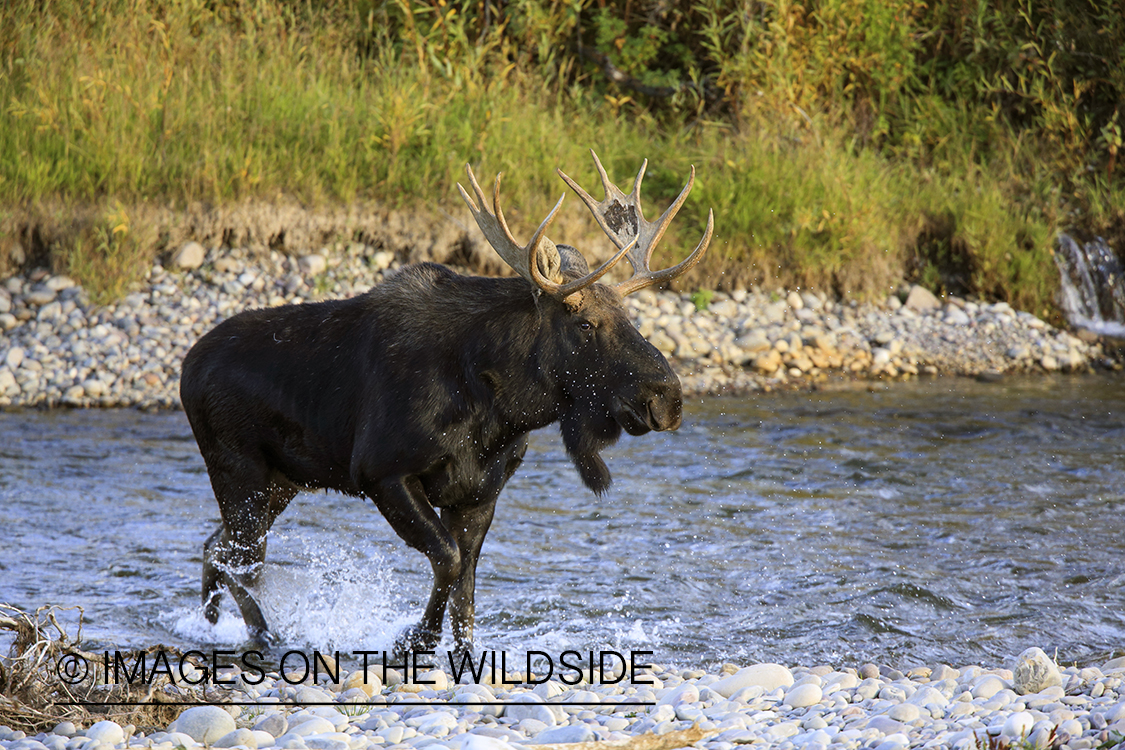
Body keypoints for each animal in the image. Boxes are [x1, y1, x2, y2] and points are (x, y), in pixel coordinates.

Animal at [180, 150, 713, 653]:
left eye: (630, 317)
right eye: (584, 323)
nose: (668, 397)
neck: (500, 410)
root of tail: (186, 368)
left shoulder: (480, 493)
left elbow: (467, 594)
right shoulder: (380, 472)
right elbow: (450, 562)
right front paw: (413, 639)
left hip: (282, 481)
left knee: (216, 548)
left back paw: (222, 624)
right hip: (240, 472)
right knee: (236, 560)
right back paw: (259, 633)